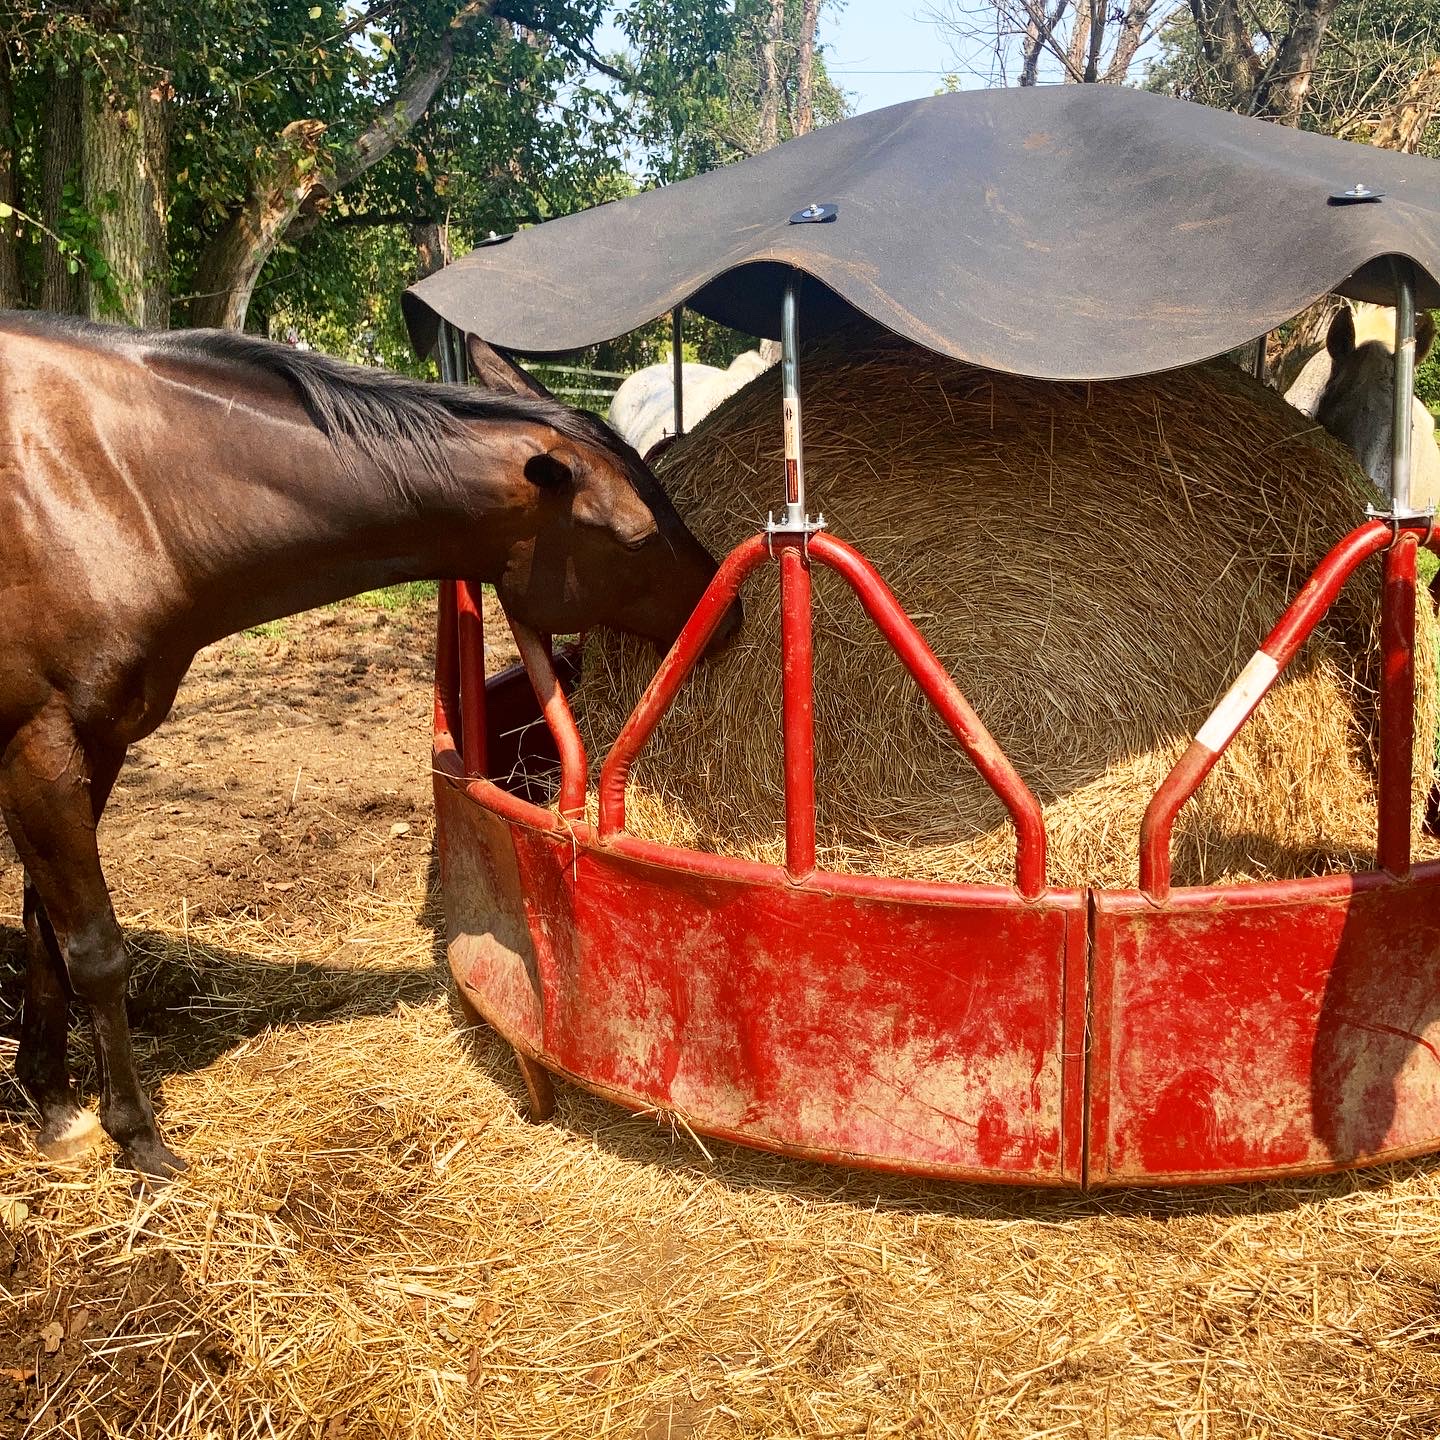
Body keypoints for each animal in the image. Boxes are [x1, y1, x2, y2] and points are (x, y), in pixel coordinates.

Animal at [0, 309, 731, 1175]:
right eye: (635, 535)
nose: (731, 615)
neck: (115, 487)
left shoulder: (93, 744)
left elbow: (48, 936)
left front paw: (53, 1105)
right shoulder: (38, 749)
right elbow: (96, 952)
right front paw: (138, 1139)